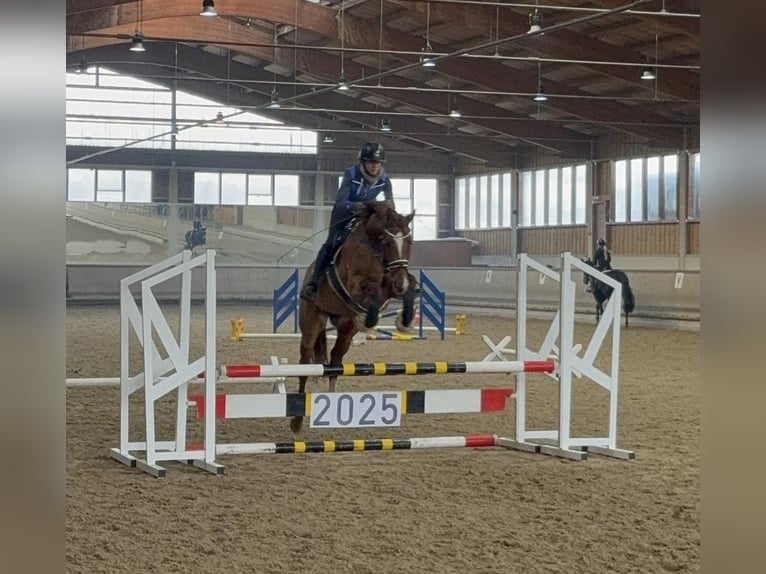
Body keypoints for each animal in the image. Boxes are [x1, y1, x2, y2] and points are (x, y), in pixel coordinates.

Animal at [292, 202, 420, 432]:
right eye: (388, 241)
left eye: (409, 241)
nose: (400, 283)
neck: (372, 246)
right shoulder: (354, 286)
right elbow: (371, 290)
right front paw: (368, 319)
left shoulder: (391, 282)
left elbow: (407, 284)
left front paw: (404, 321)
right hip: (312, 322)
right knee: (305, 362)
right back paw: (296, 422)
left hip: (344, 329)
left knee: (335, 359)